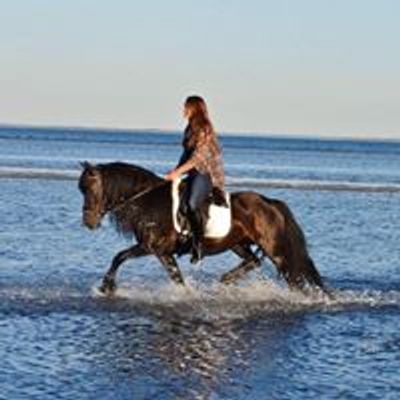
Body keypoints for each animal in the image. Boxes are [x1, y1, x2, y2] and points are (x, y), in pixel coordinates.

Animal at [78, 161, 324, 296]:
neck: (149, 201)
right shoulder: (163, 252)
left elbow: (119, 257)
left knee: (294, 278)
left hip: (275, 249)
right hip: (237, 244)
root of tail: (269, 202)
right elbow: (176, 277)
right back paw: (223, 282)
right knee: (253, 261)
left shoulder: (152, 247)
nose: (88, 222)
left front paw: (107, 287)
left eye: (89, 188)